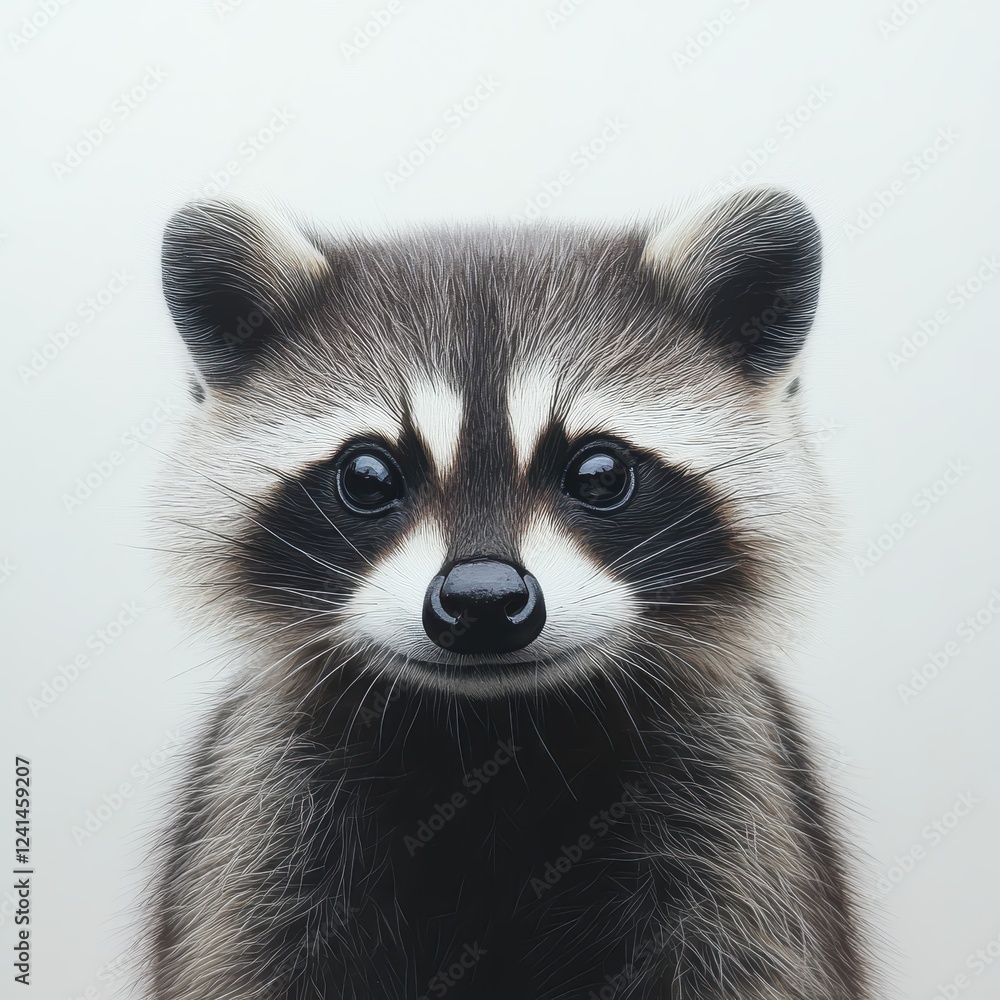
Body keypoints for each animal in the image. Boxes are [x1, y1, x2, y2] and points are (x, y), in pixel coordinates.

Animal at [146, 188, 872, 999]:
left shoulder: (736, 804)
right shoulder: (262, 812)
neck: (494, 733)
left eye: (599, 473)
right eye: (368, 476)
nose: (483, 600)